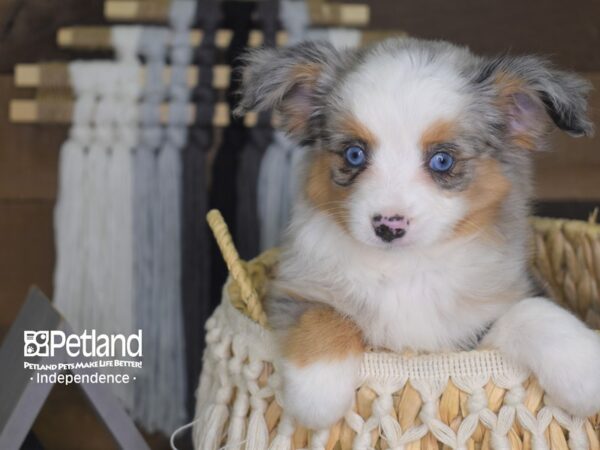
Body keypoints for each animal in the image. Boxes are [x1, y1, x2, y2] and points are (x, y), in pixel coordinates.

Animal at [234, 37, 600, 428]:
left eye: (442, 160)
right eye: (353, 154)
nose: (388, 226)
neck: (405, 270)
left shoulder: (475, 330)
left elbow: (530, 311)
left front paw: (583, 369)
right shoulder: (290, 288)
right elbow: (322, 312)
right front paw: (318, 392)